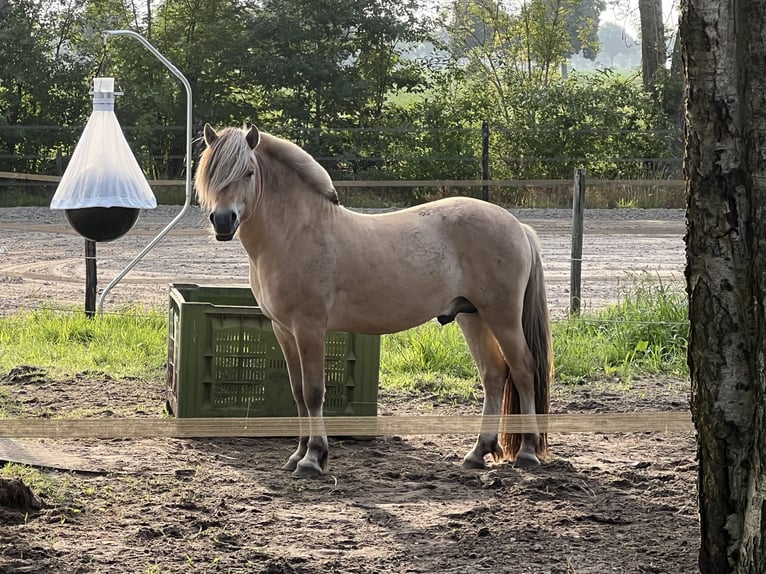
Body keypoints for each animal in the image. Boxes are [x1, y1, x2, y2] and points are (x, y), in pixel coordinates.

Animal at [195, 124, 553, 478]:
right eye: (212, 173)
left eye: (248, 172)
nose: (223, 221)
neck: (297, 232)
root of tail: (518, 227)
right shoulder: (283, 330)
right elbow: (297, 393)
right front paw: (297, 454)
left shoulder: (309, 328)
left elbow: (314, 392)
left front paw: (313, 457)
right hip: (473, 316)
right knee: (493, 375)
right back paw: (478, 452)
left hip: (502, 317)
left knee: (522, 369)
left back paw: (527, 451)